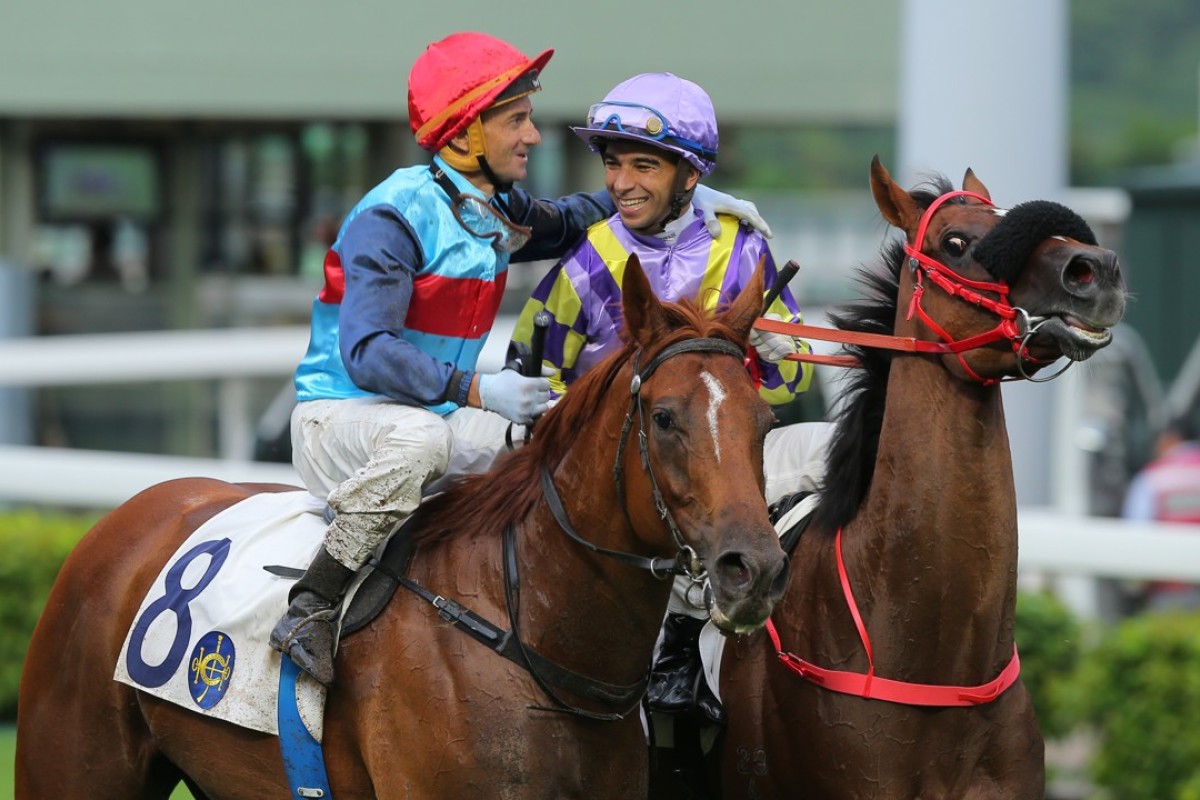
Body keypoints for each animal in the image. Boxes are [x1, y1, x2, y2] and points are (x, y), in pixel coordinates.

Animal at [18, 253, 792, 796]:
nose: (754, 569)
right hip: (73, 765)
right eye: (664, 418)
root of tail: (127, 515)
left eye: (764, 420)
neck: (531, 634)